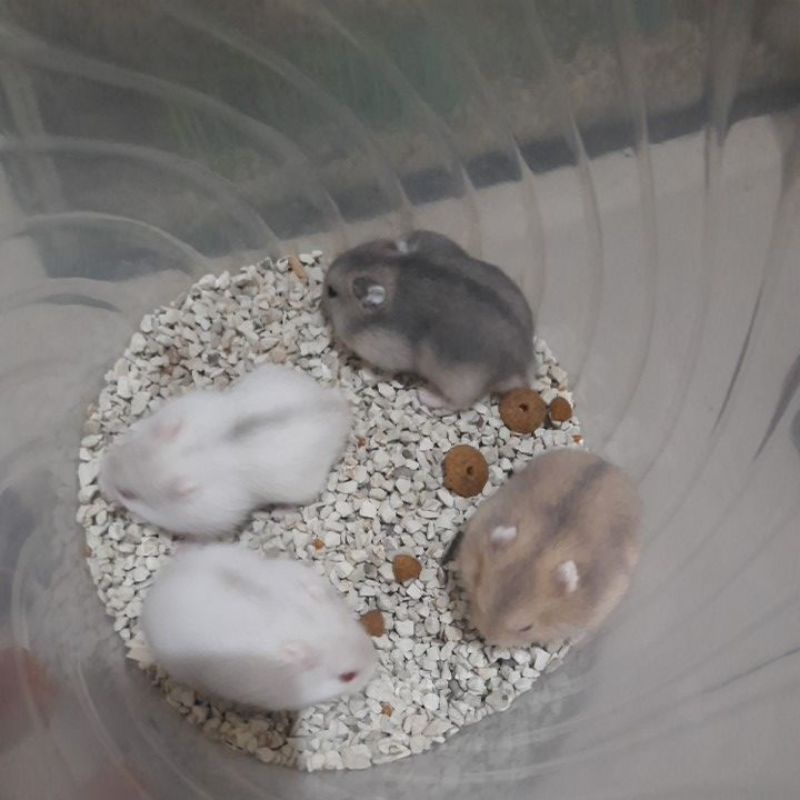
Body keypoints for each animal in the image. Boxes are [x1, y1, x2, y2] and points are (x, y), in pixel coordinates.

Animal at [321, 230, 534, 410]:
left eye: (332, 291)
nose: (318, 302)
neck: (392, 269)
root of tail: (522, 369)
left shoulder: (386, 354)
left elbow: (386, 372)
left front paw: (369, 376)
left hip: (459, 381)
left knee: (459, 403)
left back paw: (426, 396)